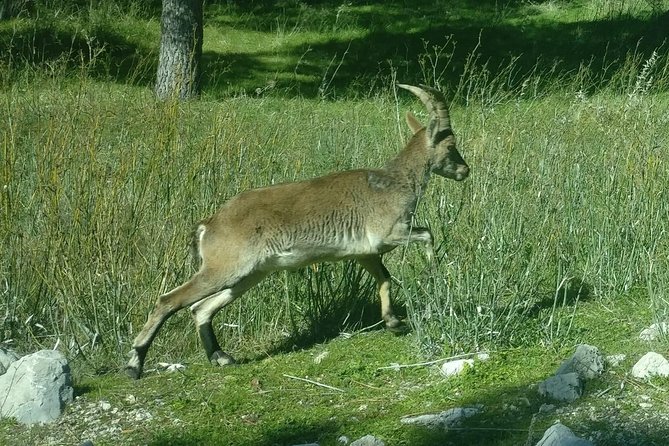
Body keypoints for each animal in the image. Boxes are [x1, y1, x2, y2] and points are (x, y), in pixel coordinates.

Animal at [126, 84, 470, 380]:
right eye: (451, 145)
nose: (465, 170)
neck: (394, 182)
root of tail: (209, 224)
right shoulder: (388, 233)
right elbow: (427, 235)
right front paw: (432, 272)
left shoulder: (365, 253)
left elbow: (384, 278)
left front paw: (394, 322)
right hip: (223, 268)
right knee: (169, 300)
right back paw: (134, 365)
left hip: (249, 274)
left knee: (201, 308)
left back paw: (221, 357)